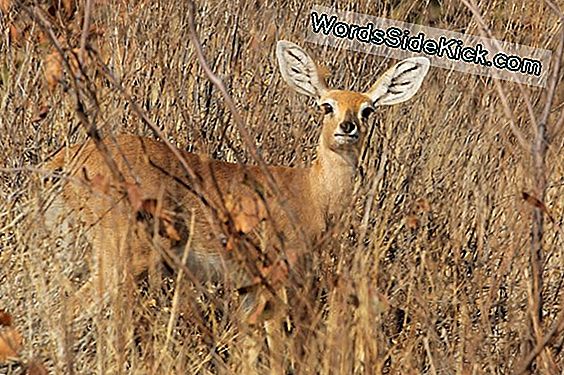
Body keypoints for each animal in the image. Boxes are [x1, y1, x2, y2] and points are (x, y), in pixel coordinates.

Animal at [44, 39, 430, 368]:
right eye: (326, 105)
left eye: (368, 109)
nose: (347, 127)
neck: (311, 193)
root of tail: (68, 158)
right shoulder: (276, 274)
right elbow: (276, 346)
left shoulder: (249, 285)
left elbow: (249, 345)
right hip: (121, 252)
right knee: (71, 311)